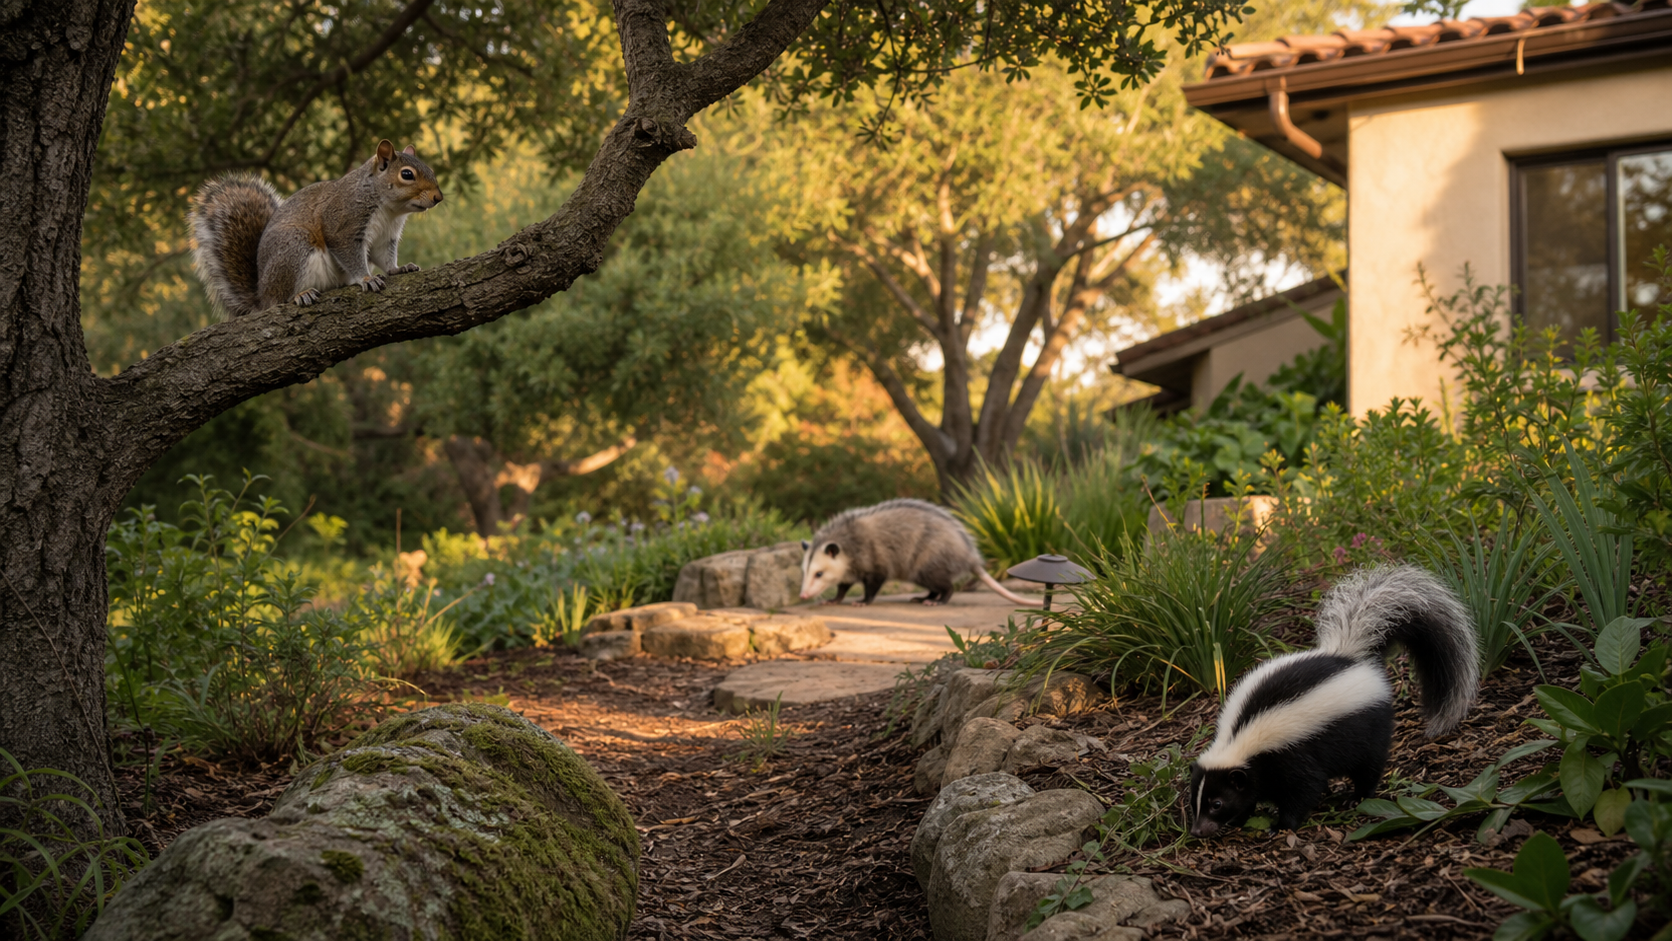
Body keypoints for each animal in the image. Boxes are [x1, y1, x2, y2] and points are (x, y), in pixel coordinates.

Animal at [188, 140, 443, 317]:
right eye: (407, 174)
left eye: (431, 170)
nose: (438, 198)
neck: (389, 209)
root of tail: (261, 294)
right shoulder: (343, 225)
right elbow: (349, 253)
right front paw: (366, 279)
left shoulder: (385, 237)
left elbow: (385, 257)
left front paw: (399, 269)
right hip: (294, 247)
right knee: (279, 299)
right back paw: (300, 295)